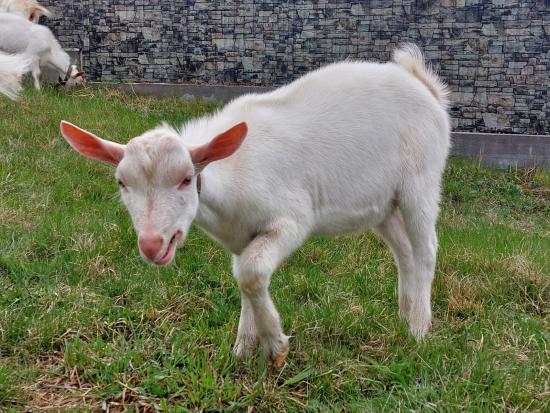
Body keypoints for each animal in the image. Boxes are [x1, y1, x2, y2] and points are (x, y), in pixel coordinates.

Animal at [59, 45, 452, 366]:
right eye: (122, 183)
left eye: (186, 179)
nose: (152, 244)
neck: (231, 175)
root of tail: (424, 85)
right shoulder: (241, 235)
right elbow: (244, 276)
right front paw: (243, 348)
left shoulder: (292, 218)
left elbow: (250, 273)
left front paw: (276, 346)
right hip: (384, 203)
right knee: (404, 251)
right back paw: (405, 314)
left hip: (421, 178)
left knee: (427, 249)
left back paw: (419, 330)